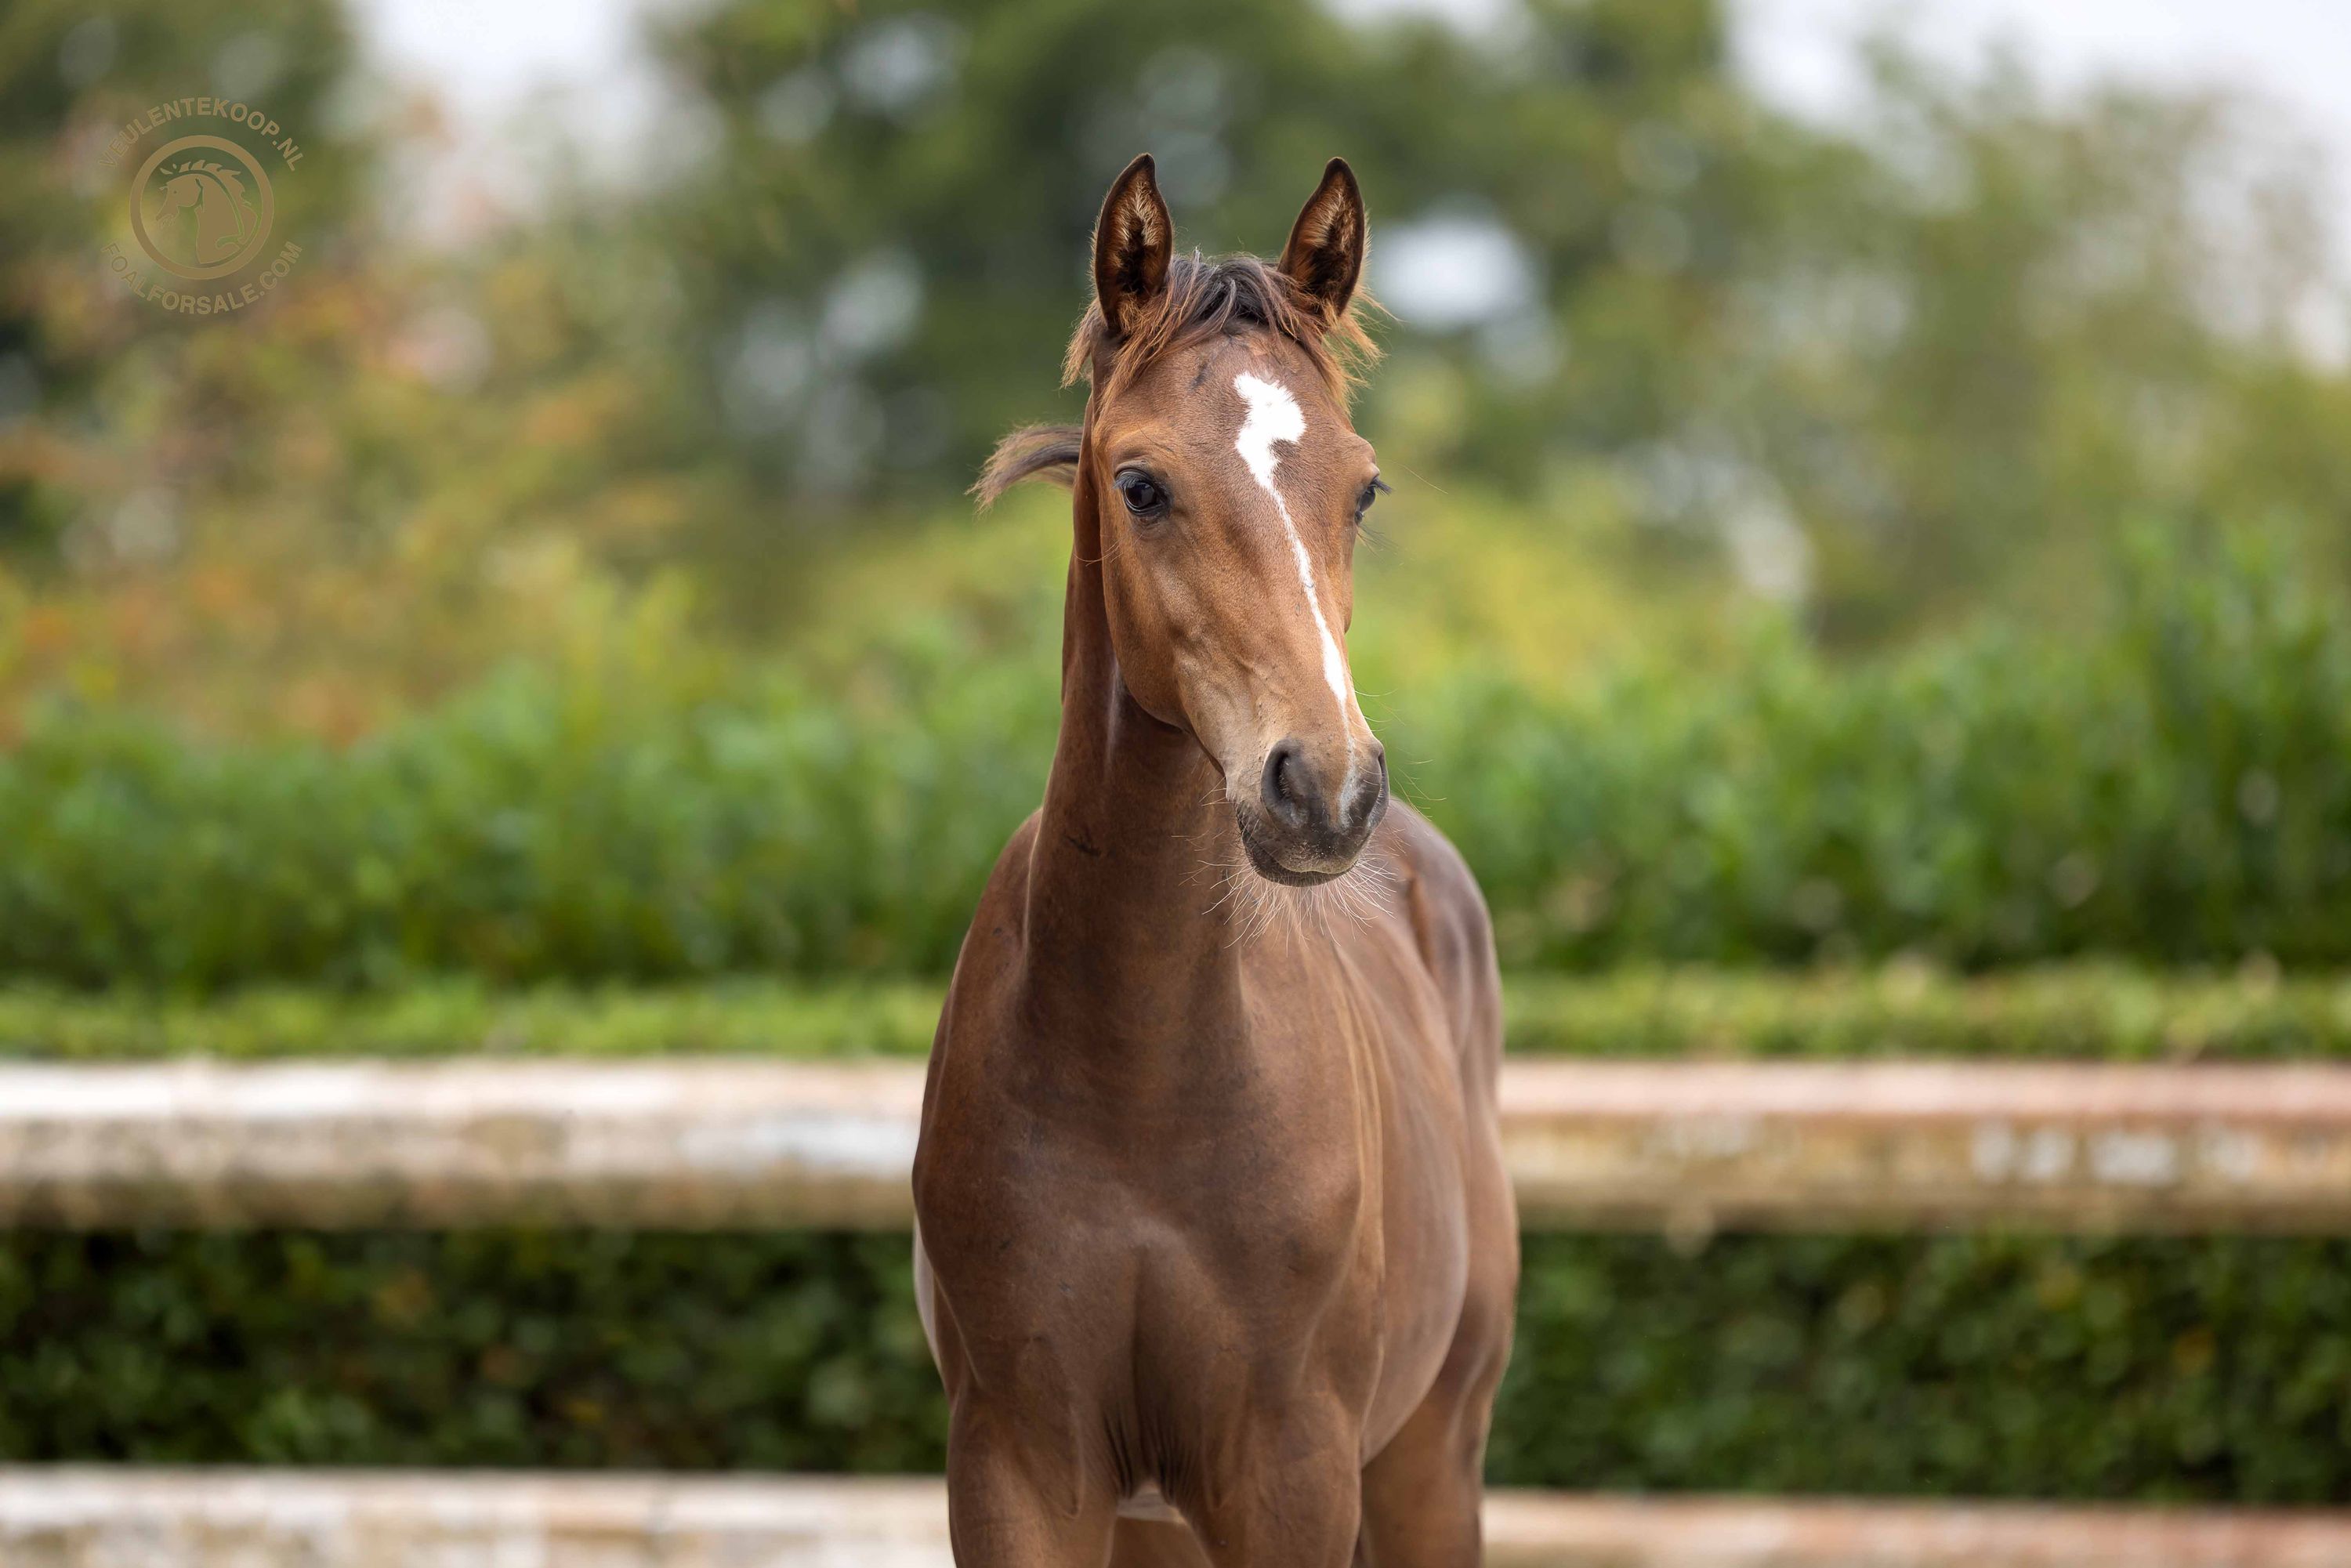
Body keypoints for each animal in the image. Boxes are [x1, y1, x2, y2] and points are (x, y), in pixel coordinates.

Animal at [913, 154, 1516, 1568]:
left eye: (1363, 486)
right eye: (1141, 485)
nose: (1325, 789)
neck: (1143, 1069)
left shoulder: (1290, 1470)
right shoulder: (1018, 1466)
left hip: (1430, 1454)